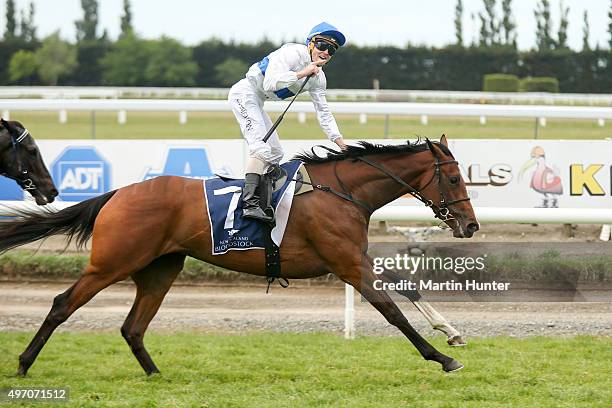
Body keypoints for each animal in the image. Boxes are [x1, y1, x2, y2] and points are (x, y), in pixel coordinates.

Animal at [0, 135, 478, 374]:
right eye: (455, 179)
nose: (471, 225)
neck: (339, 190)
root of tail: (118, 193)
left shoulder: (354, 256)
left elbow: (409, 289)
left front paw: (452, 332)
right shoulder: (347, 264)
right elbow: (391, 311)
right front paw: (442, 358)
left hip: (159, 269)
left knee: (132, 326)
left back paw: (156, 374)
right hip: (112, 262)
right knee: (63, 304)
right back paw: (23, 365)